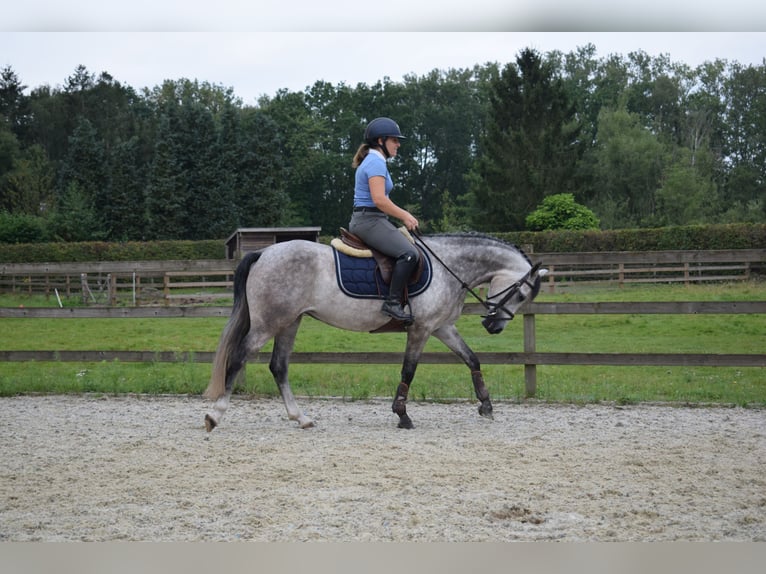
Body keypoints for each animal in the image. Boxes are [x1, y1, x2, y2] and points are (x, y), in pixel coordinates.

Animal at [206, 232, 544, 430]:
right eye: (521, 294)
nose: (493, 326)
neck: (449, 266)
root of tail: (264, 253)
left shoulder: (442, 327)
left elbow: (472, 359)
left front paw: (486, 405)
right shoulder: (421, 329)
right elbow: (408, 371)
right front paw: (402, 414)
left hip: (290, 322)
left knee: (279, 366)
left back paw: (301, 418)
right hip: (269, 324)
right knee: (238, 357)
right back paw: (215, 414)